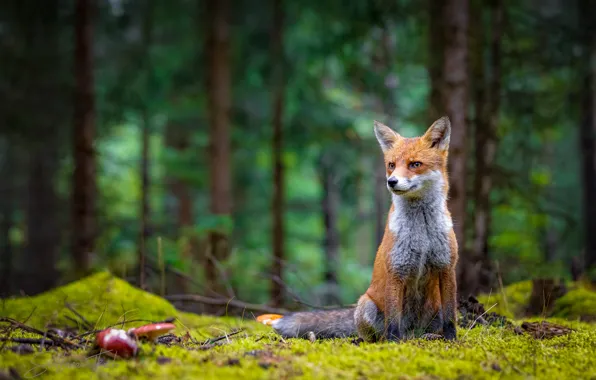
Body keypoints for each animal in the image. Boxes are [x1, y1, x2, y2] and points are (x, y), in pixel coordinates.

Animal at [258, 116, 458, 342]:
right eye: (391, 165)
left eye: (415, 164)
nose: (391, 181)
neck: (422, 232)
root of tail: (412, 333)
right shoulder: (397, 269)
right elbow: (393, 321)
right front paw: (394, 343)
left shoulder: (447, 267)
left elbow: (450, 317)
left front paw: (451, 339)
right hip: (366, 305)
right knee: (378, 333)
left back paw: (431, 336)